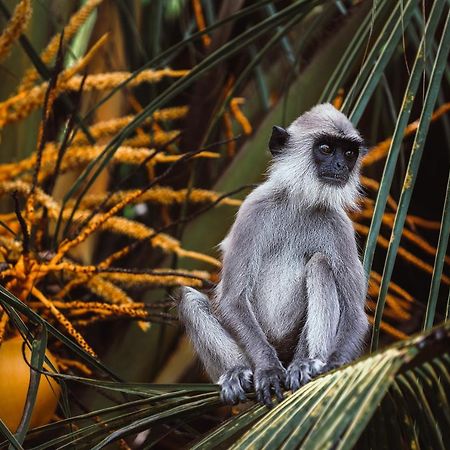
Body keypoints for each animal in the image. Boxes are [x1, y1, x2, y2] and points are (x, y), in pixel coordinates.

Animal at [176, 103, 370, 408]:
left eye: (349, 153)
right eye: (326, 149)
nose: (341, 166)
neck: (301, 203)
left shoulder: (340, 227)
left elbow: (354, 314)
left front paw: (334, 366)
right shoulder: (254, 209)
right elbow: (233, 300)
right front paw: (268, 370)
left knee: (320, 264)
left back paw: (307, 363)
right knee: (189, 299)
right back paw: (236, 372)